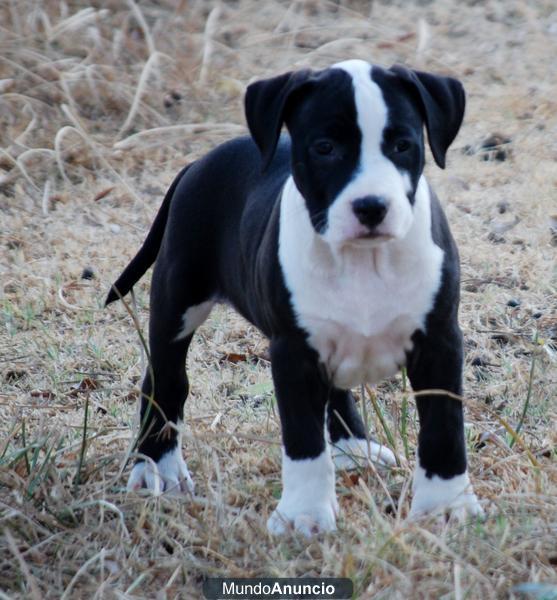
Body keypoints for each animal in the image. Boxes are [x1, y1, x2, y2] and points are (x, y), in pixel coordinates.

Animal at [107, 59, 482, 536]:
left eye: (403, 145)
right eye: (324, 147)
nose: (371, 206)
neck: (364, 260)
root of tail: (197, 162)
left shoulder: (439, 343)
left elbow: (443, 429)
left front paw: (445, 505)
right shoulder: (293, 354)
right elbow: (303, 439)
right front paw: (305, 514)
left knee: (337, 389)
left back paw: (353, 445)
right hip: (177, 298)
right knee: (166, 380)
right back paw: (158, 467)